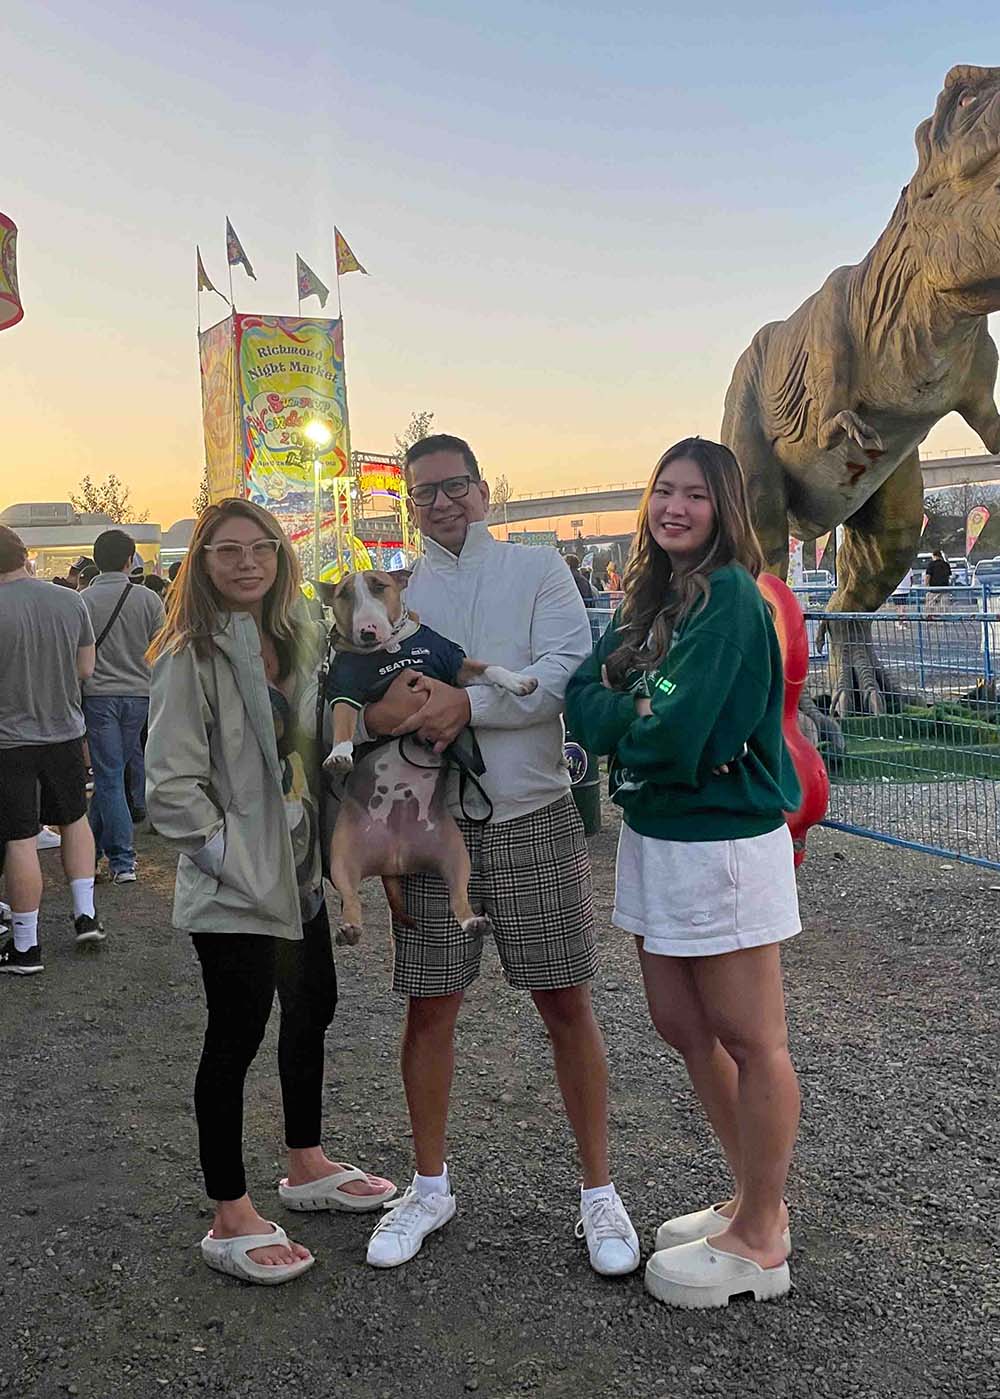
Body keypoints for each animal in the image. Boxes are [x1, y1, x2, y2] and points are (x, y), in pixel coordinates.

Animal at [320, 570, 539, 951]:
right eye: (344, 594)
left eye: (379, 585)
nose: (367, 631)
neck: (389, 650)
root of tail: (394, 858)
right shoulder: (344, 684)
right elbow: (345, 719)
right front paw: (340, 753)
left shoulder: (455, 663)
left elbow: (489, 668)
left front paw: (519, 681)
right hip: (341, 855)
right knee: (350, 897)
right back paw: (349, 928)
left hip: (456, 854)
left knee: (459, 897)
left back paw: (473, 923)